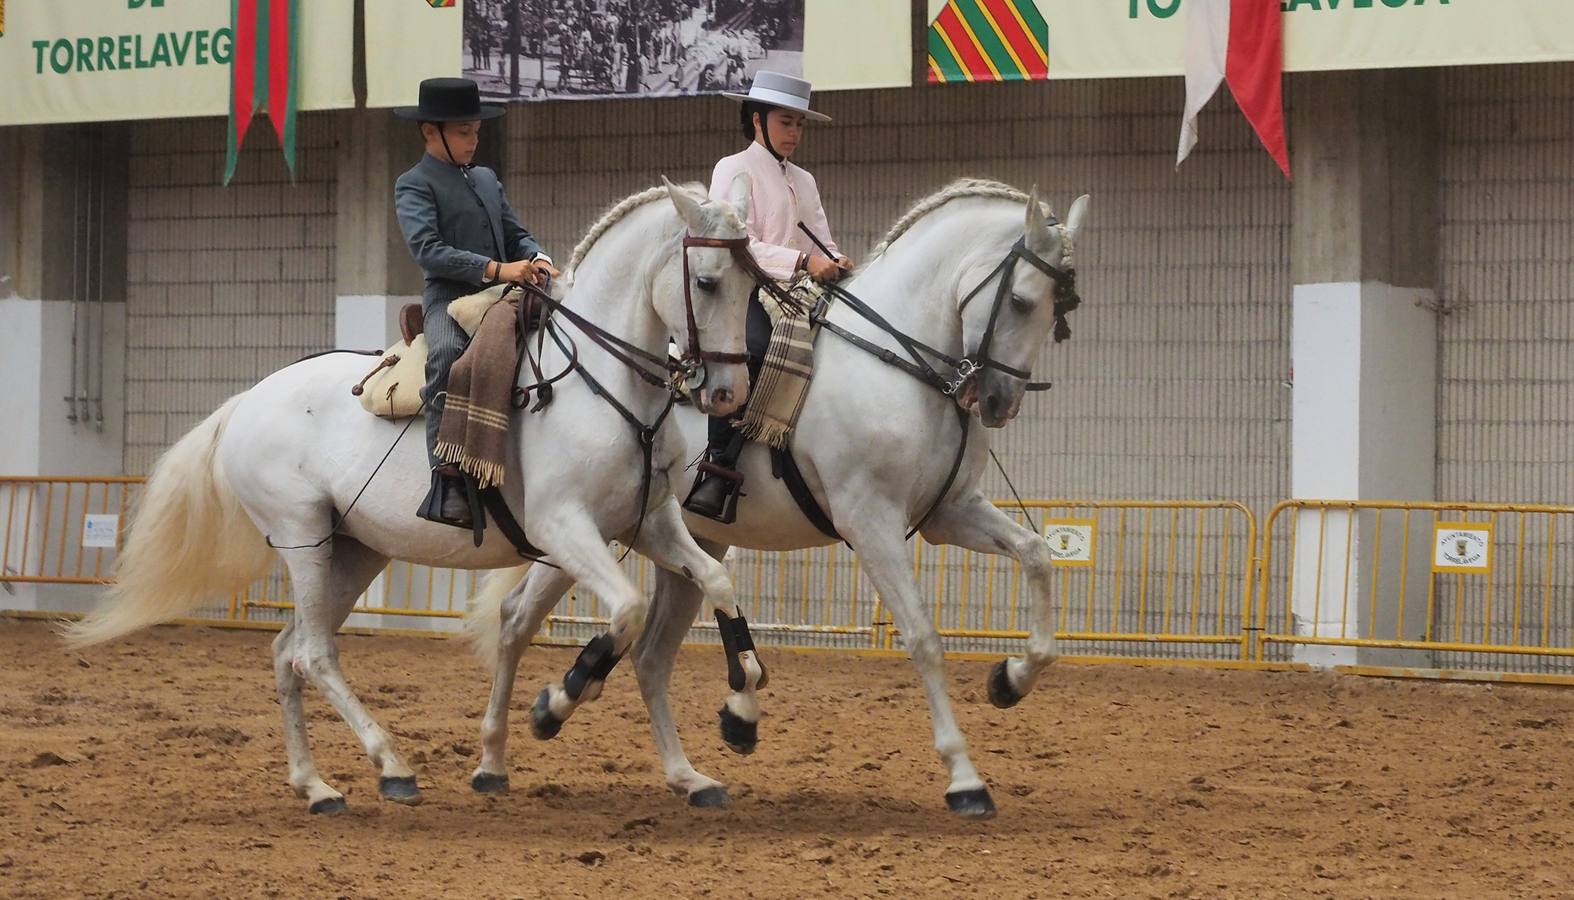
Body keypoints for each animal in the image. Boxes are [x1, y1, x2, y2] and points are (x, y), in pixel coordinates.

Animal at [64, 175, 764, 818]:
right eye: (706, 282)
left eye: (754, 283)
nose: (726, 394)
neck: (600, 383)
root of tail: (247, 401)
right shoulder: (565, 528)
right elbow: (626, 611)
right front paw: (558, 701)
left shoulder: (648, 523)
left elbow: (716, 581)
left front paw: (741, 709)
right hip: (303, 541)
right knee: (313, 654)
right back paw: (391, 766)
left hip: (354, 552)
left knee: (287, 652)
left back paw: (316, 787)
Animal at [459, 180, 1089, 818]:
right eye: (1021, 301)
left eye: (1060, 309)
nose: (999, 402)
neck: (894, 361)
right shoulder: (872, 523)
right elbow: (923, 638)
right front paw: (964, 777)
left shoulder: (950, 512)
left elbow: (1037, 554)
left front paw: (1011, 678)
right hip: (587, 527)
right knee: (520, 618)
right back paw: (519, 740)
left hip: (676, 540)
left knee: (648, 652)